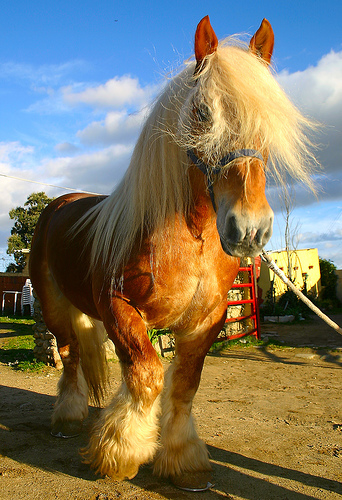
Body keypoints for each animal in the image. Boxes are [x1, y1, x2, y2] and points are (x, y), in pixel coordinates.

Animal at [29, 16, 316, 492]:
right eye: (202, 113)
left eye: (270, 120)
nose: (249, 229)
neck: (187, 238)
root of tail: (60, 204)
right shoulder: (119, 310)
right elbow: (146, 376)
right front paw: (120, 453)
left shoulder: (206, 320)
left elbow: (183, 385)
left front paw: (185, 462)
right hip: (55, 308)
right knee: (69, 358)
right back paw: (67, 420)